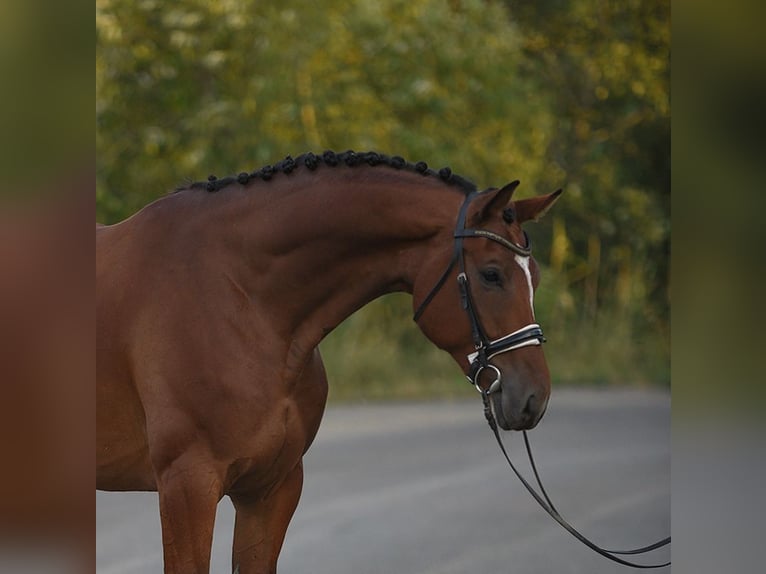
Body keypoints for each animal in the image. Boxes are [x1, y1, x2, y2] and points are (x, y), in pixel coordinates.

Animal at [96, 151, 564, 572]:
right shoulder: (187, 487)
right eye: (491, 274)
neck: (241, 296)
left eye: (537, 277)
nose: (533, 398)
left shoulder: (271, 489)